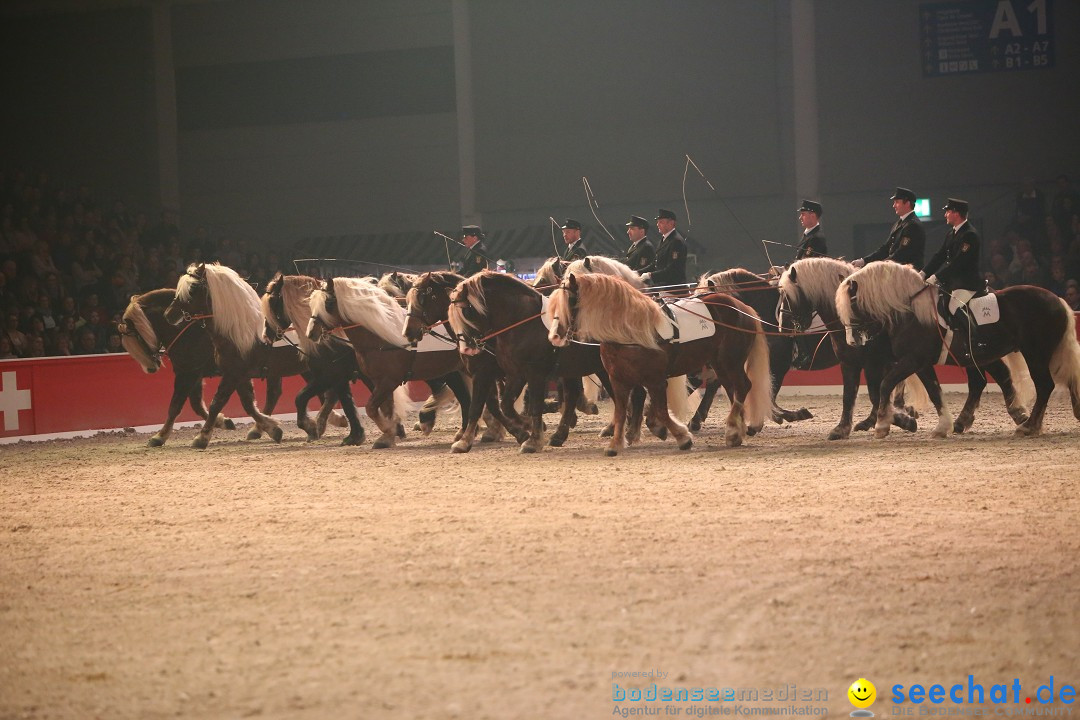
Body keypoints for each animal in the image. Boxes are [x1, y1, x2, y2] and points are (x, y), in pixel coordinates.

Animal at [444, 273, 617, 453]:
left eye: (466, 311)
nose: (467, 349)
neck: (523, 322)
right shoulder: (515, 374)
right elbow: (504, 405)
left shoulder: (532, 373)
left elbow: (533, 405)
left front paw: (533, 440)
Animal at [544, 273, 773, 453]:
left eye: (570, 300)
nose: (555, 336)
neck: (628, 332)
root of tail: (743, 308)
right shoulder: (618, 380)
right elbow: (621, 411)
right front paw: (616, 443)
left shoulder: (655, 380)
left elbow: (661, 410)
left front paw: (682, 437)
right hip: (721, 364)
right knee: (734, 390)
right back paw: (736, 431)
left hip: (731, 361)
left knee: (743, 386)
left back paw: (733, 429)